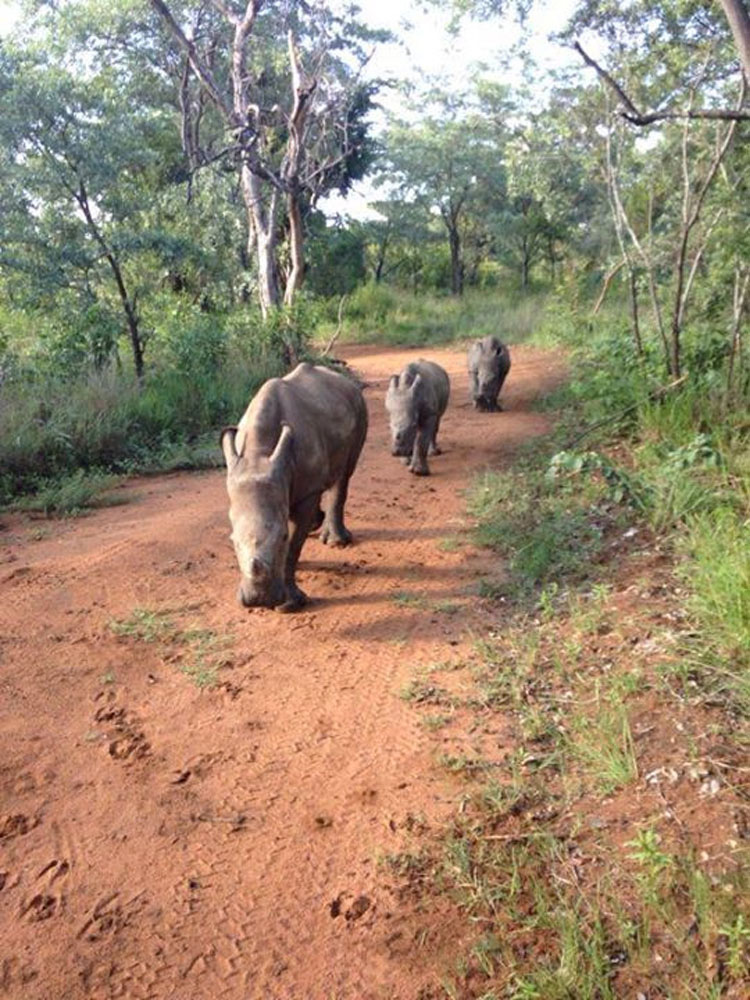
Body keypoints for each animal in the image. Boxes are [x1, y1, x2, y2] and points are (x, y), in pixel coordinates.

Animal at [220, 362, 368, 608]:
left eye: (282, 536)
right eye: (233, 542)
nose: (258, 600)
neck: (257, 455)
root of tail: (344, 381)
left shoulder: (303, 491)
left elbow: (294, 545)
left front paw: (289, 605)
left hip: (360, 408)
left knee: (344, 474)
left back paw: (336, 542)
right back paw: (317, 524)